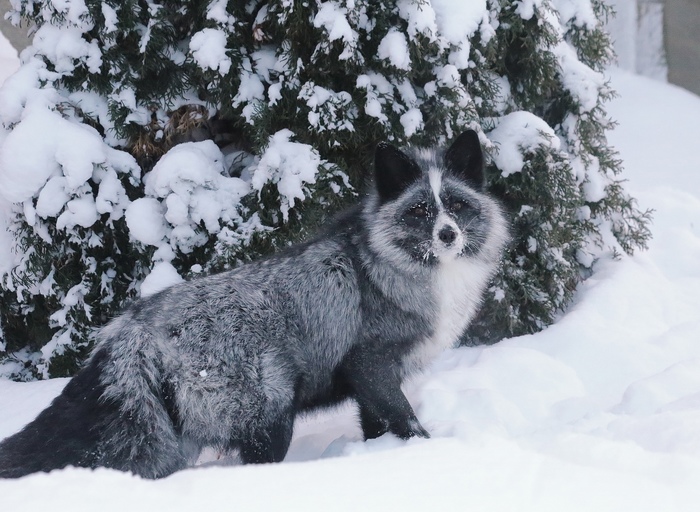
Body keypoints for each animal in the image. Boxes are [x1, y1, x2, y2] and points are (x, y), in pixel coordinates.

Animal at [0, 130, 506, 478]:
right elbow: (407, 420)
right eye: (420, 210)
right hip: (270, 421)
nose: (449, 235)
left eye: (457, 206)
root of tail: (133, 325)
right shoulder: (371, 364)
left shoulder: (368, 382)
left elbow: (379, 427)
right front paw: (431, 453)